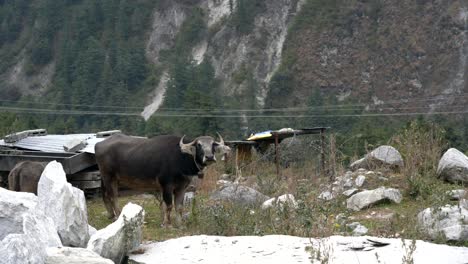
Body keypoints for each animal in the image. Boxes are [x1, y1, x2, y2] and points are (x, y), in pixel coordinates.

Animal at [93, 133, 230, 226]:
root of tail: (99, 144)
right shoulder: (166, 185)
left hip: (108, 179)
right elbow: (168, 205)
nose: (209, 157)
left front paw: (179, 224)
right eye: (199, 145)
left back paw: (111, 215)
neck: (180, 156)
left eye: (213, 144)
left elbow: (179, 206)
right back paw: (117, 216)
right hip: (109, 177)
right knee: (113, 196)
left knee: (106, 196)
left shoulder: (182, 187)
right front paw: (167, 223)